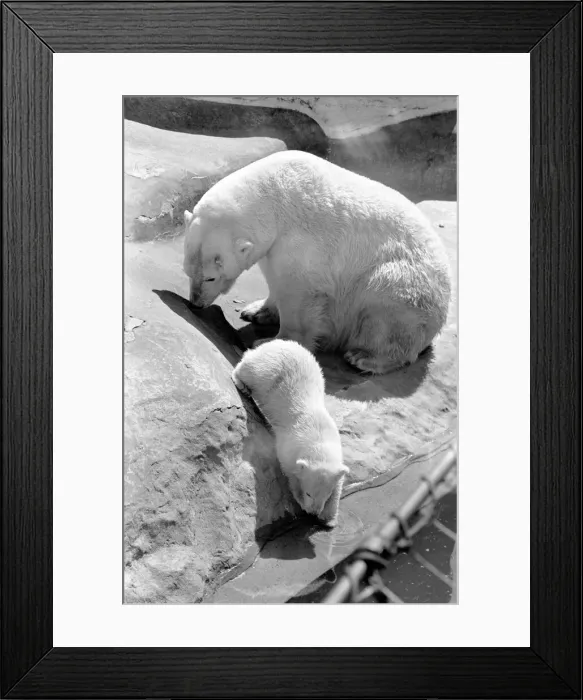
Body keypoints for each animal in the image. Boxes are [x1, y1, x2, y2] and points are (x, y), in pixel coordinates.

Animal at [184, 150, 451, 375]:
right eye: (187, 272)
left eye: (211, 277)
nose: (195, 303)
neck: (273, 194)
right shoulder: (273, 245)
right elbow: (274, 279)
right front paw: (256, 311)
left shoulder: (301, 243)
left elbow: (299, 294)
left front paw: (271, 341)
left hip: (405, 287)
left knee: (384, 308)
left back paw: (363, 357)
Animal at [231, 339, 348, 527]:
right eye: (309, 493)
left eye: (326, 495)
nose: (314, 512)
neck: (318, 438)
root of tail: (271, 343)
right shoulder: (289, 447)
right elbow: (291, 472)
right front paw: (300, 500)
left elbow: (338, 482)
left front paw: (329, 518)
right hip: (264, 371)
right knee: (248, 370)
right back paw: (242, 384)